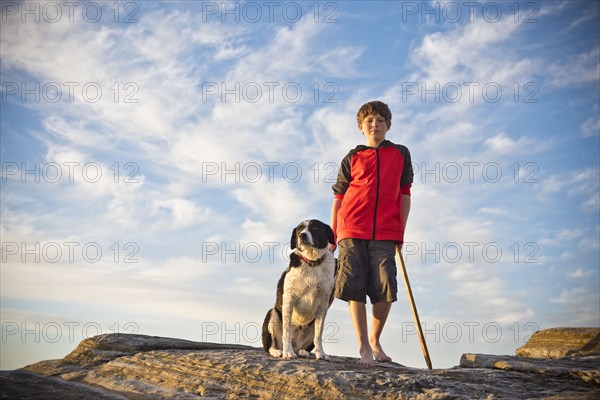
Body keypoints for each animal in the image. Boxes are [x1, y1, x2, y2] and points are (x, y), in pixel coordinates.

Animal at [262, 220, 338, 360]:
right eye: (299, 230)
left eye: (315, 227)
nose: (302, 235)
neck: (312, 263)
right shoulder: (289, 300)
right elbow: (286, 332)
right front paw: (288, 353)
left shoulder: (323, 305)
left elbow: (318, 336)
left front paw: (321, 353)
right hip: (272, 314)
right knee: (269, 346)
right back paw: (278, 351)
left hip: (311, 326)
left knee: (307, 342)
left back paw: (302, 352)